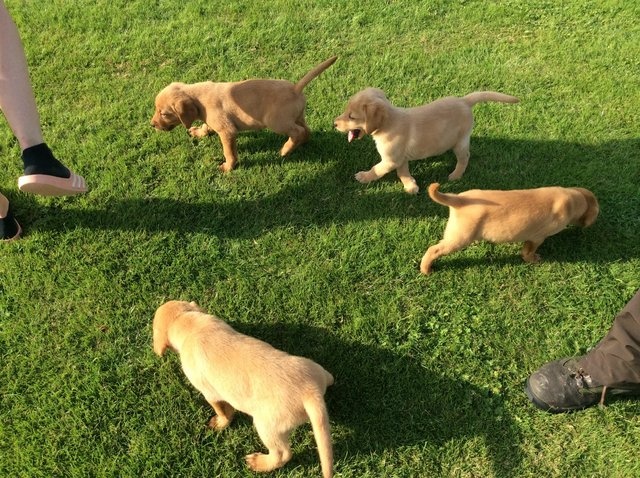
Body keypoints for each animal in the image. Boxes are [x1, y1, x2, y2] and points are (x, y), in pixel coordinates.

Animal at [151, 56, 338, 172]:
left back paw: (285, 150)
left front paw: (228, 167)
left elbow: (229, 152)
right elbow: (206, 126)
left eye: (165, 114)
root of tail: (295, 88)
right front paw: (198, 132)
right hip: (298, 116)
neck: (198, 97)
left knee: (297, 132)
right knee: (306, 130)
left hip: (276, 122)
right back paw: (299, 144)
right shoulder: (212, 120)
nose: (152, 125)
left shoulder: (227, 131)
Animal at [152, 300, 336, 476]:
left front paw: (220, 423)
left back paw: (258, 463)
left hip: (267, 426)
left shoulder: (209, 393)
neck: (190, 324)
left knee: (282, 454)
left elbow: (222, 410)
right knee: (330, 377)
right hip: (314, 369)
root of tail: (310, 391)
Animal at [332, 88, 516, 193]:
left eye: (352, 116)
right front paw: (410, 186)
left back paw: (456, 175)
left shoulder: (390, 160)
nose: (334, 123)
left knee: (465, 157)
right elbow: (403, 172)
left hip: (460, 141)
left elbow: (377, 169)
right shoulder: (400, 158)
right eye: (346, 111)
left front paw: (364, 176)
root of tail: (464, 101)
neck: (389, 123)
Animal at [420, 182, 600, 272]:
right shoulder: (537, 238)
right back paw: (426, 269)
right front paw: (532, 260)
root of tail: (458, 199)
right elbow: (528, 251)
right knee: (433, 250)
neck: (572, 200)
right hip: (459, 238)